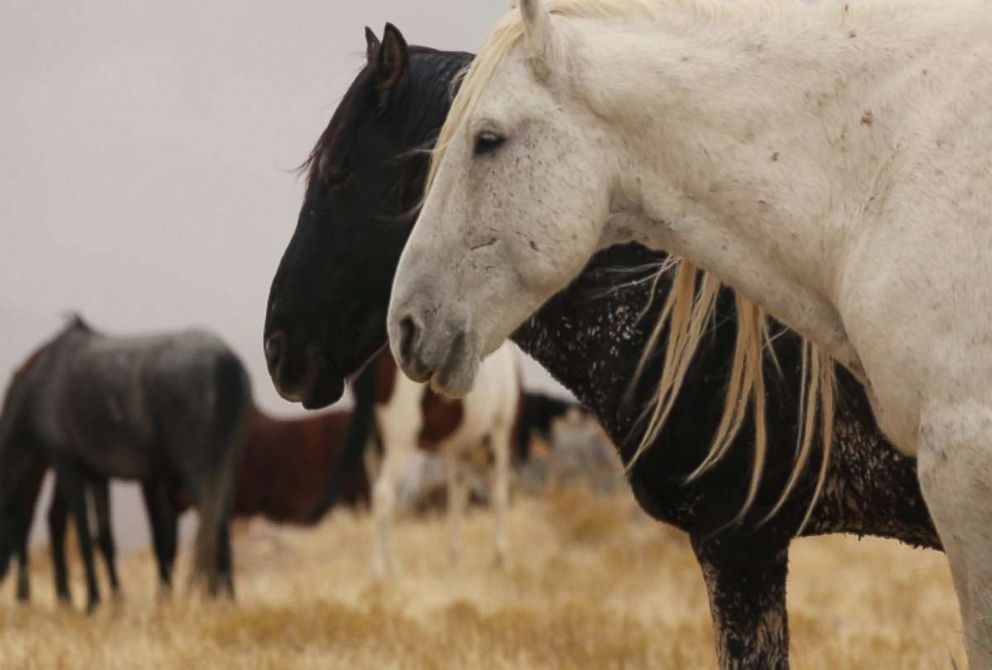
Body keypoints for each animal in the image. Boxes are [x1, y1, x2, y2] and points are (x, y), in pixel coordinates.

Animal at [0, 318, 248, 612]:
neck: (40, 385)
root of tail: (227, 363)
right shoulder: (97, 473)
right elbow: (104, 537)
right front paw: (115, 599)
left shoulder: (68, 462)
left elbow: (84, 534)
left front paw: (93, 601)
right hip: (224, 466)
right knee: (219, 525)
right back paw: (226, 597)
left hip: (199, 471)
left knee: (213, 528)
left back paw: (214, 599)